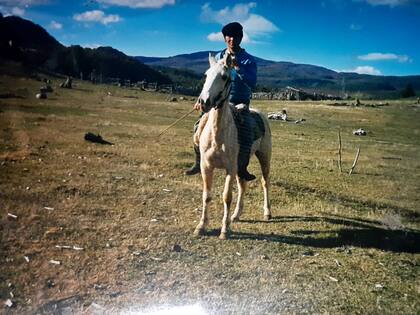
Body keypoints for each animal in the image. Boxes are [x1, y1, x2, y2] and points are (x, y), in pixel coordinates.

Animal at [194, 52, 272, 239]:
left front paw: (224, 229)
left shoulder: (230, 167)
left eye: (224, 77)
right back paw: (236, 215)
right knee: (243, 184)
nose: (204, 102)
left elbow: (226, 197)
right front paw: (201, 226)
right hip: (241, 165)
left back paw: (267, 212)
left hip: (264, 157)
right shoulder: (206, 167)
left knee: (265, 182)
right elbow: (206, 195)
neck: (217, 135)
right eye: (206, 75)